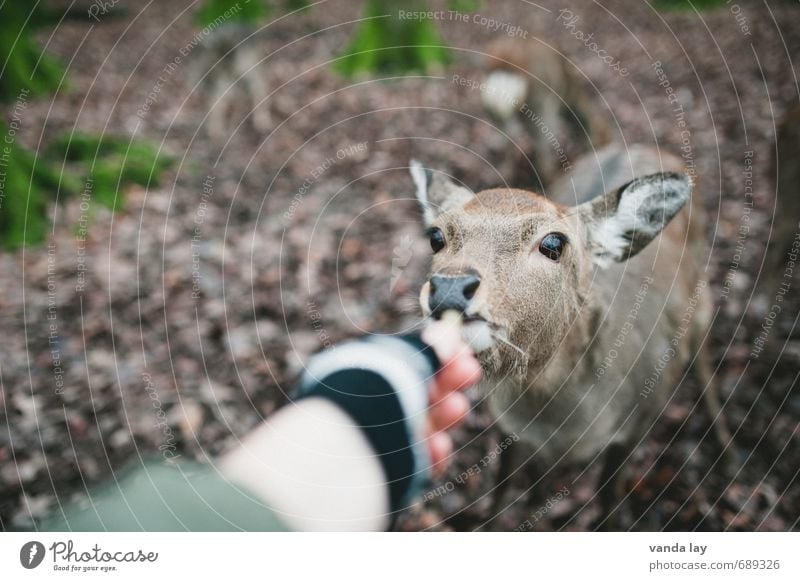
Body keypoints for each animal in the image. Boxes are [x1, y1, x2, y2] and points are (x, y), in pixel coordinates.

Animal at [412, 144, 732, 524]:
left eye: (553, 242)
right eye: (435, 237)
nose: (449, 289)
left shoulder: (640, 420)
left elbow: (609, 498)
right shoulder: (507, 425)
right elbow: (501, 489)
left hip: (702, 300)